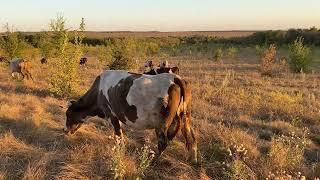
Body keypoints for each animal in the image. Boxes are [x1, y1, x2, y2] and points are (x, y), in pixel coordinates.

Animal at [62, 70, 198, 163]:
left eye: (68, 114)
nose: (64, 130)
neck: (98, 91)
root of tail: (175, 77)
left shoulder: (111, 114)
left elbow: (118, 135)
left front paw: (119, 151)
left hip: (162, 123)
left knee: (163, 141)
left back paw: (152, 161)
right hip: (186, 117)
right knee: (191, 138)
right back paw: (192, 159)